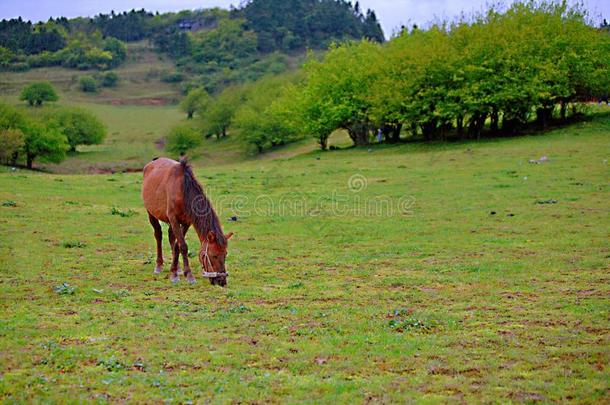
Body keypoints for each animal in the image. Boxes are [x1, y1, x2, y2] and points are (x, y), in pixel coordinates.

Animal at [141, 156, 232, 286]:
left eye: (225, 254)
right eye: (213, 255)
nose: (221, 281)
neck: (182, 191)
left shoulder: (186, 222)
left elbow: (177, 246)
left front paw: (175, 271)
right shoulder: (174, 219)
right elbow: (183, 246)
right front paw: (186, 275)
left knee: (171, 237)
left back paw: (178, 267)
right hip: (151, 214)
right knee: (158, 235)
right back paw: (158, 265)